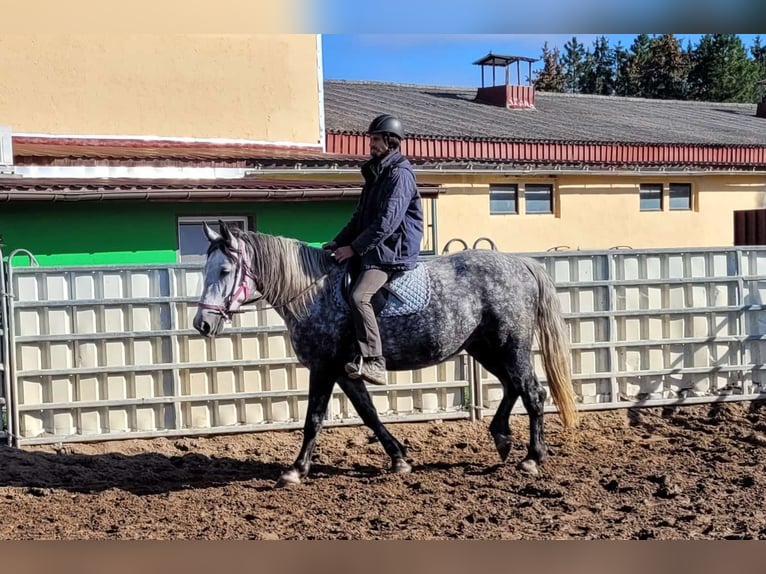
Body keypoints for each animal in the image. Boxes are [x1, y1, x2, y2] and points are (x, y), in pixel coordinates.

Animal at [195, 220, 580, 486]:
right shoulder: (344, 371)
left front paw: (294, 470)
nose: (202, 323)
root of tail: (520, 264)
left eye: (225, 270)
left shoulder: (323, 367)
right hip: (485, 348)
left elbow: (313, 420)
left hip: (510, 346)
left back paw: (532, 458)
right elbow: (369, 414)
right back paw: (501, 438)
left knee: (532, 392)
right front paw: (400, 459)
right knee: (513, 386)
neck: (313, 292)